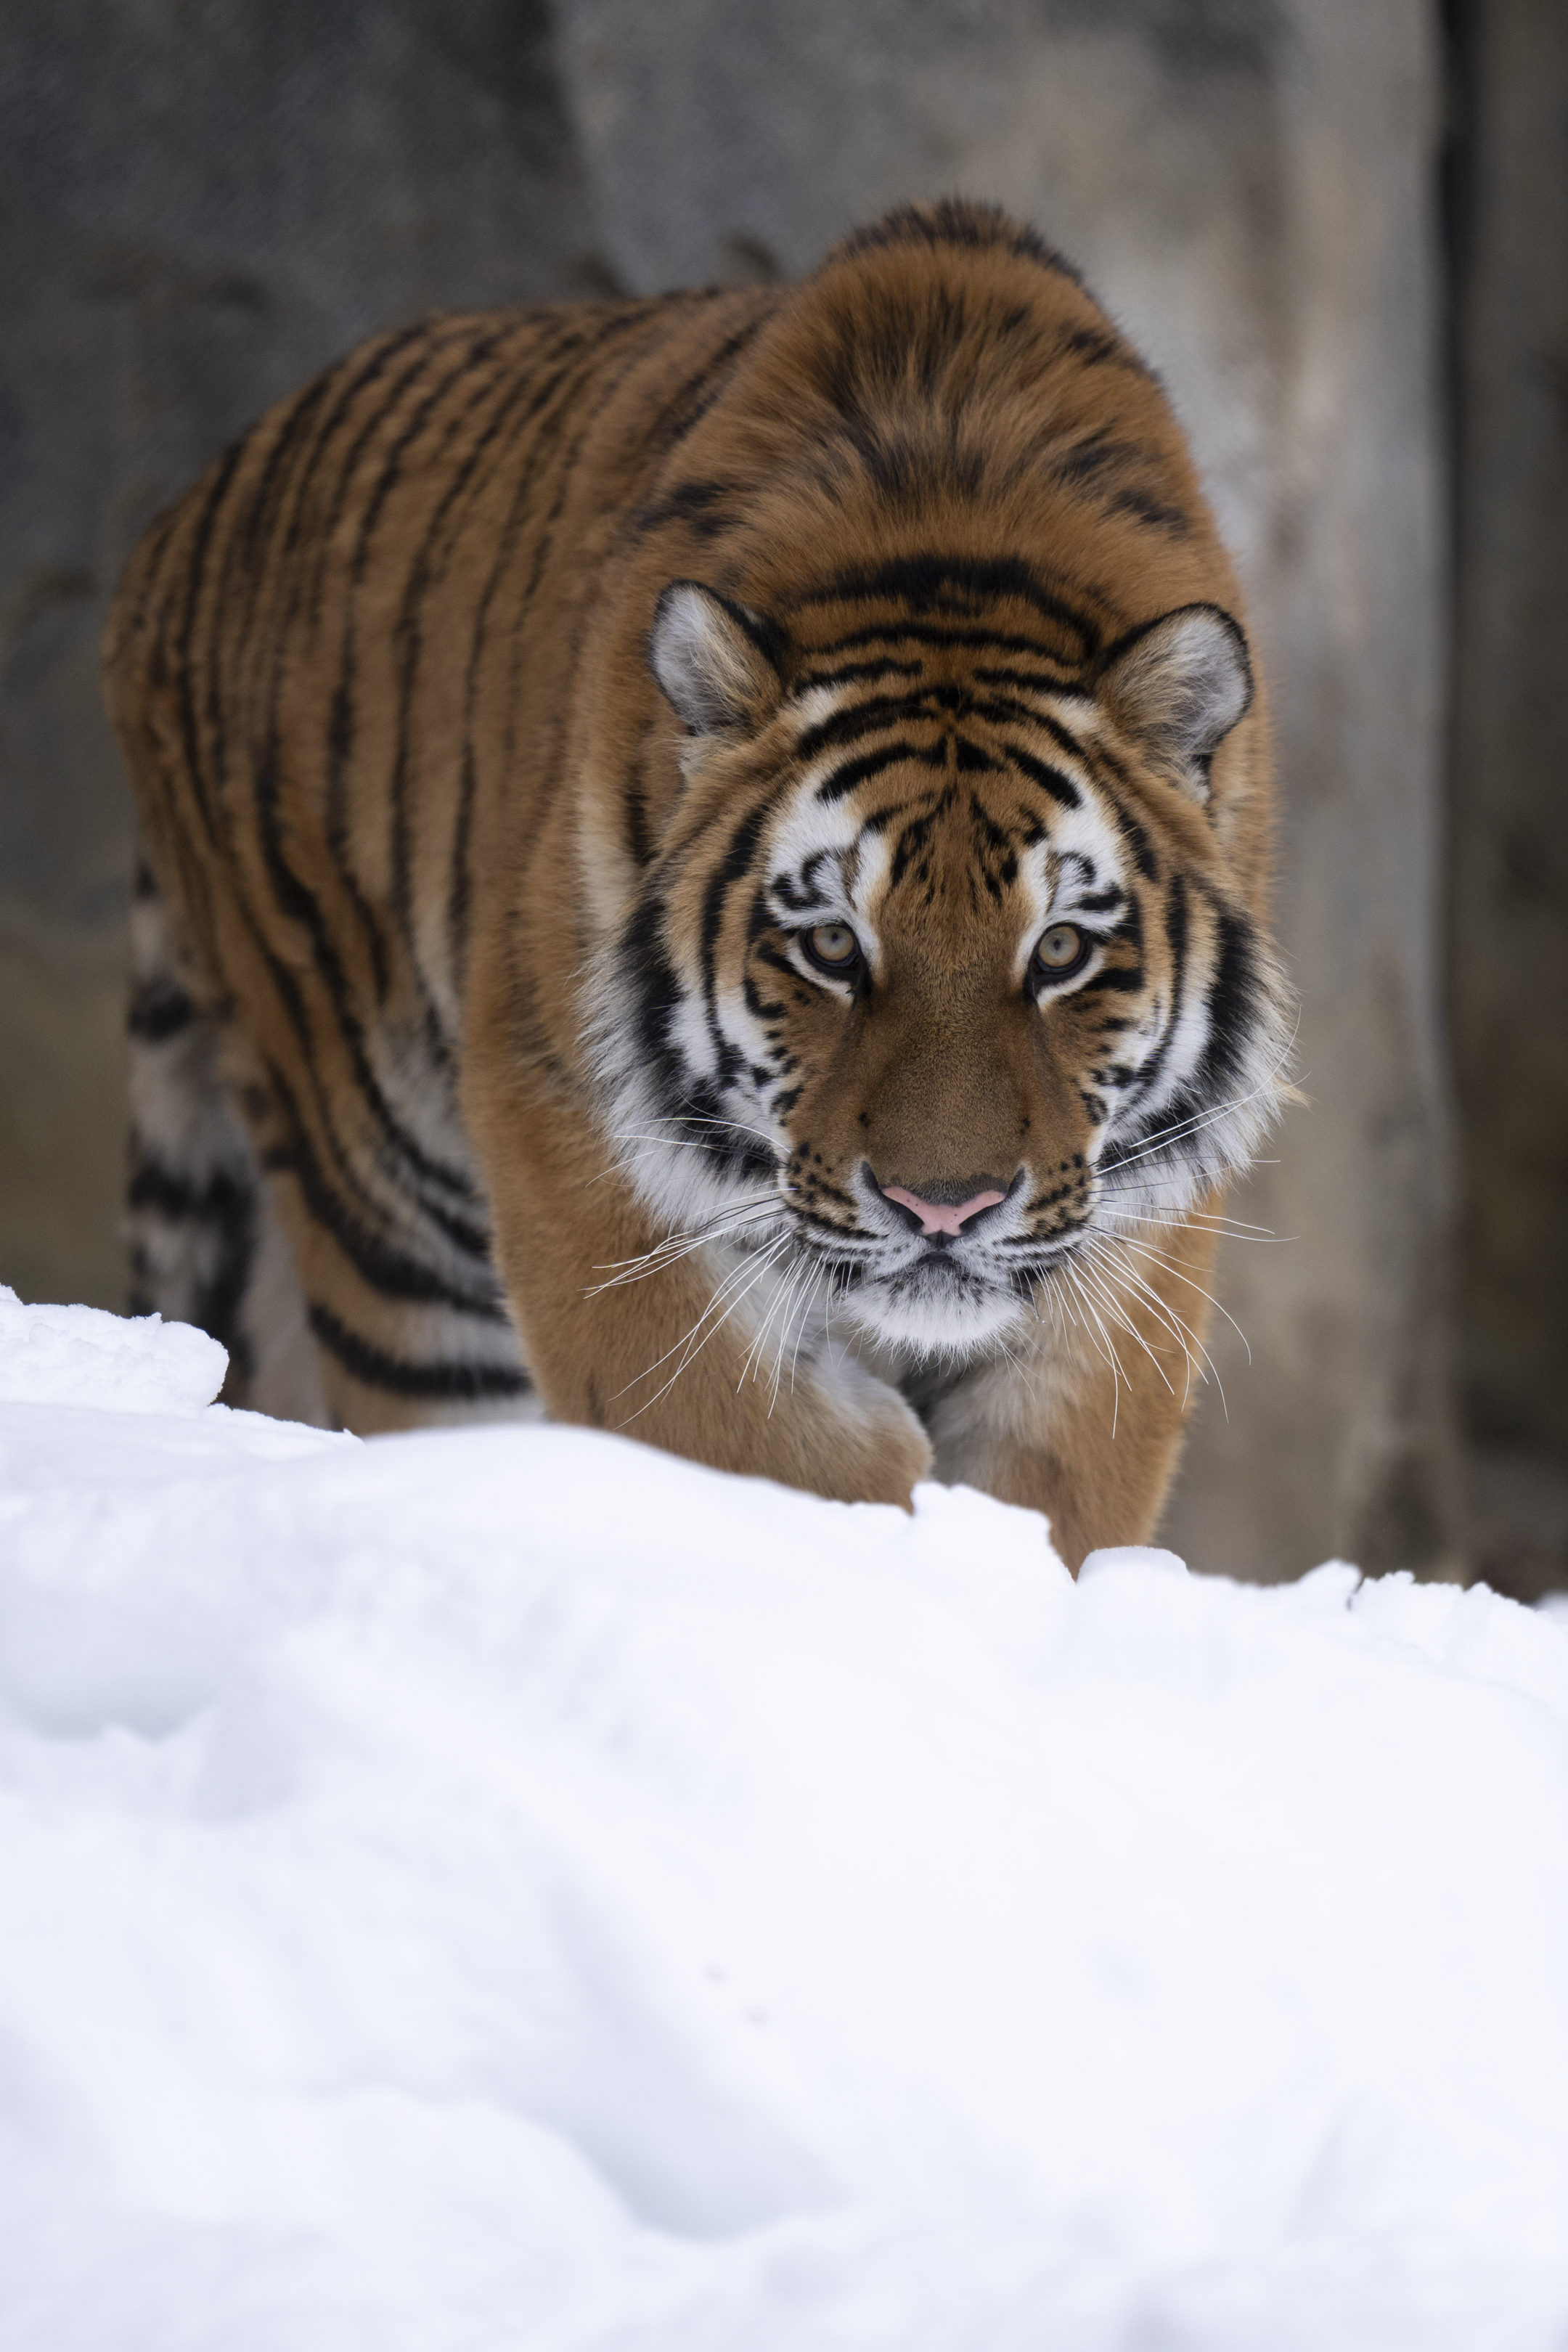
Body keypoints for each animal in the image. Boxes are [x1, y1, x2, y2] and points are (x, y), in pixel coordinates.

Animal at [105, 199, 1290, 1570]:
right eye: (830, 947)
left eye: (1058, 953)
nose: (944, 1210)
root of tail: (176, 522)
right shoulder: (561, 1105)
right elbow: (724, 1418)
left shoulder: (1136, 1223)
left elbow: (1065, 1485)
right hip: (385, 1191)